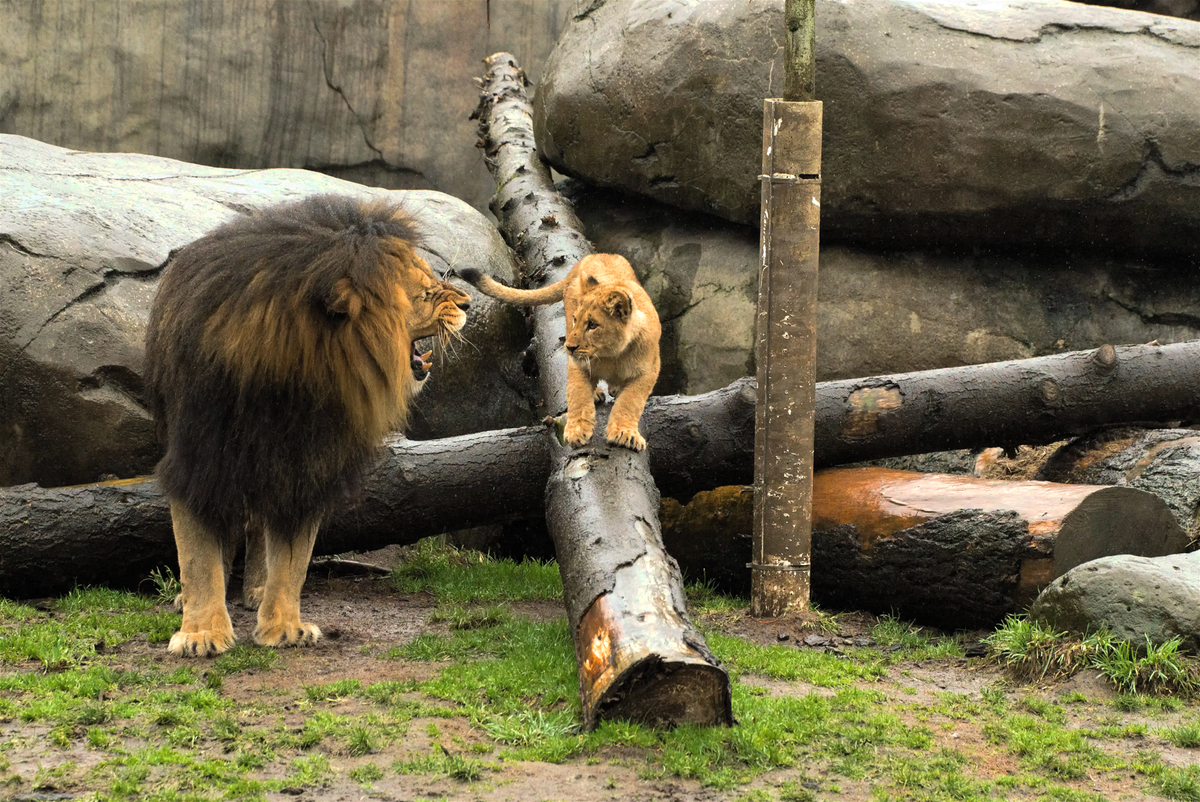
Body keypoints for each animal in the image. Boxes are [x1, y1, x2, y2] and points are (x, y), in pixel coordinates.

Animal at [144, 195, 468, 657]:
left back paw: (256, 590)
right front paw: (201, 633)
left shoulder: (307, 465)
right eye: (424, 293)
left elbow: (292, 561)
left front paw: (283, 627)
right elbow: (197, 555)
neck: (293, 377)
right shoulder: (199, 458)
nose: (469, 304)